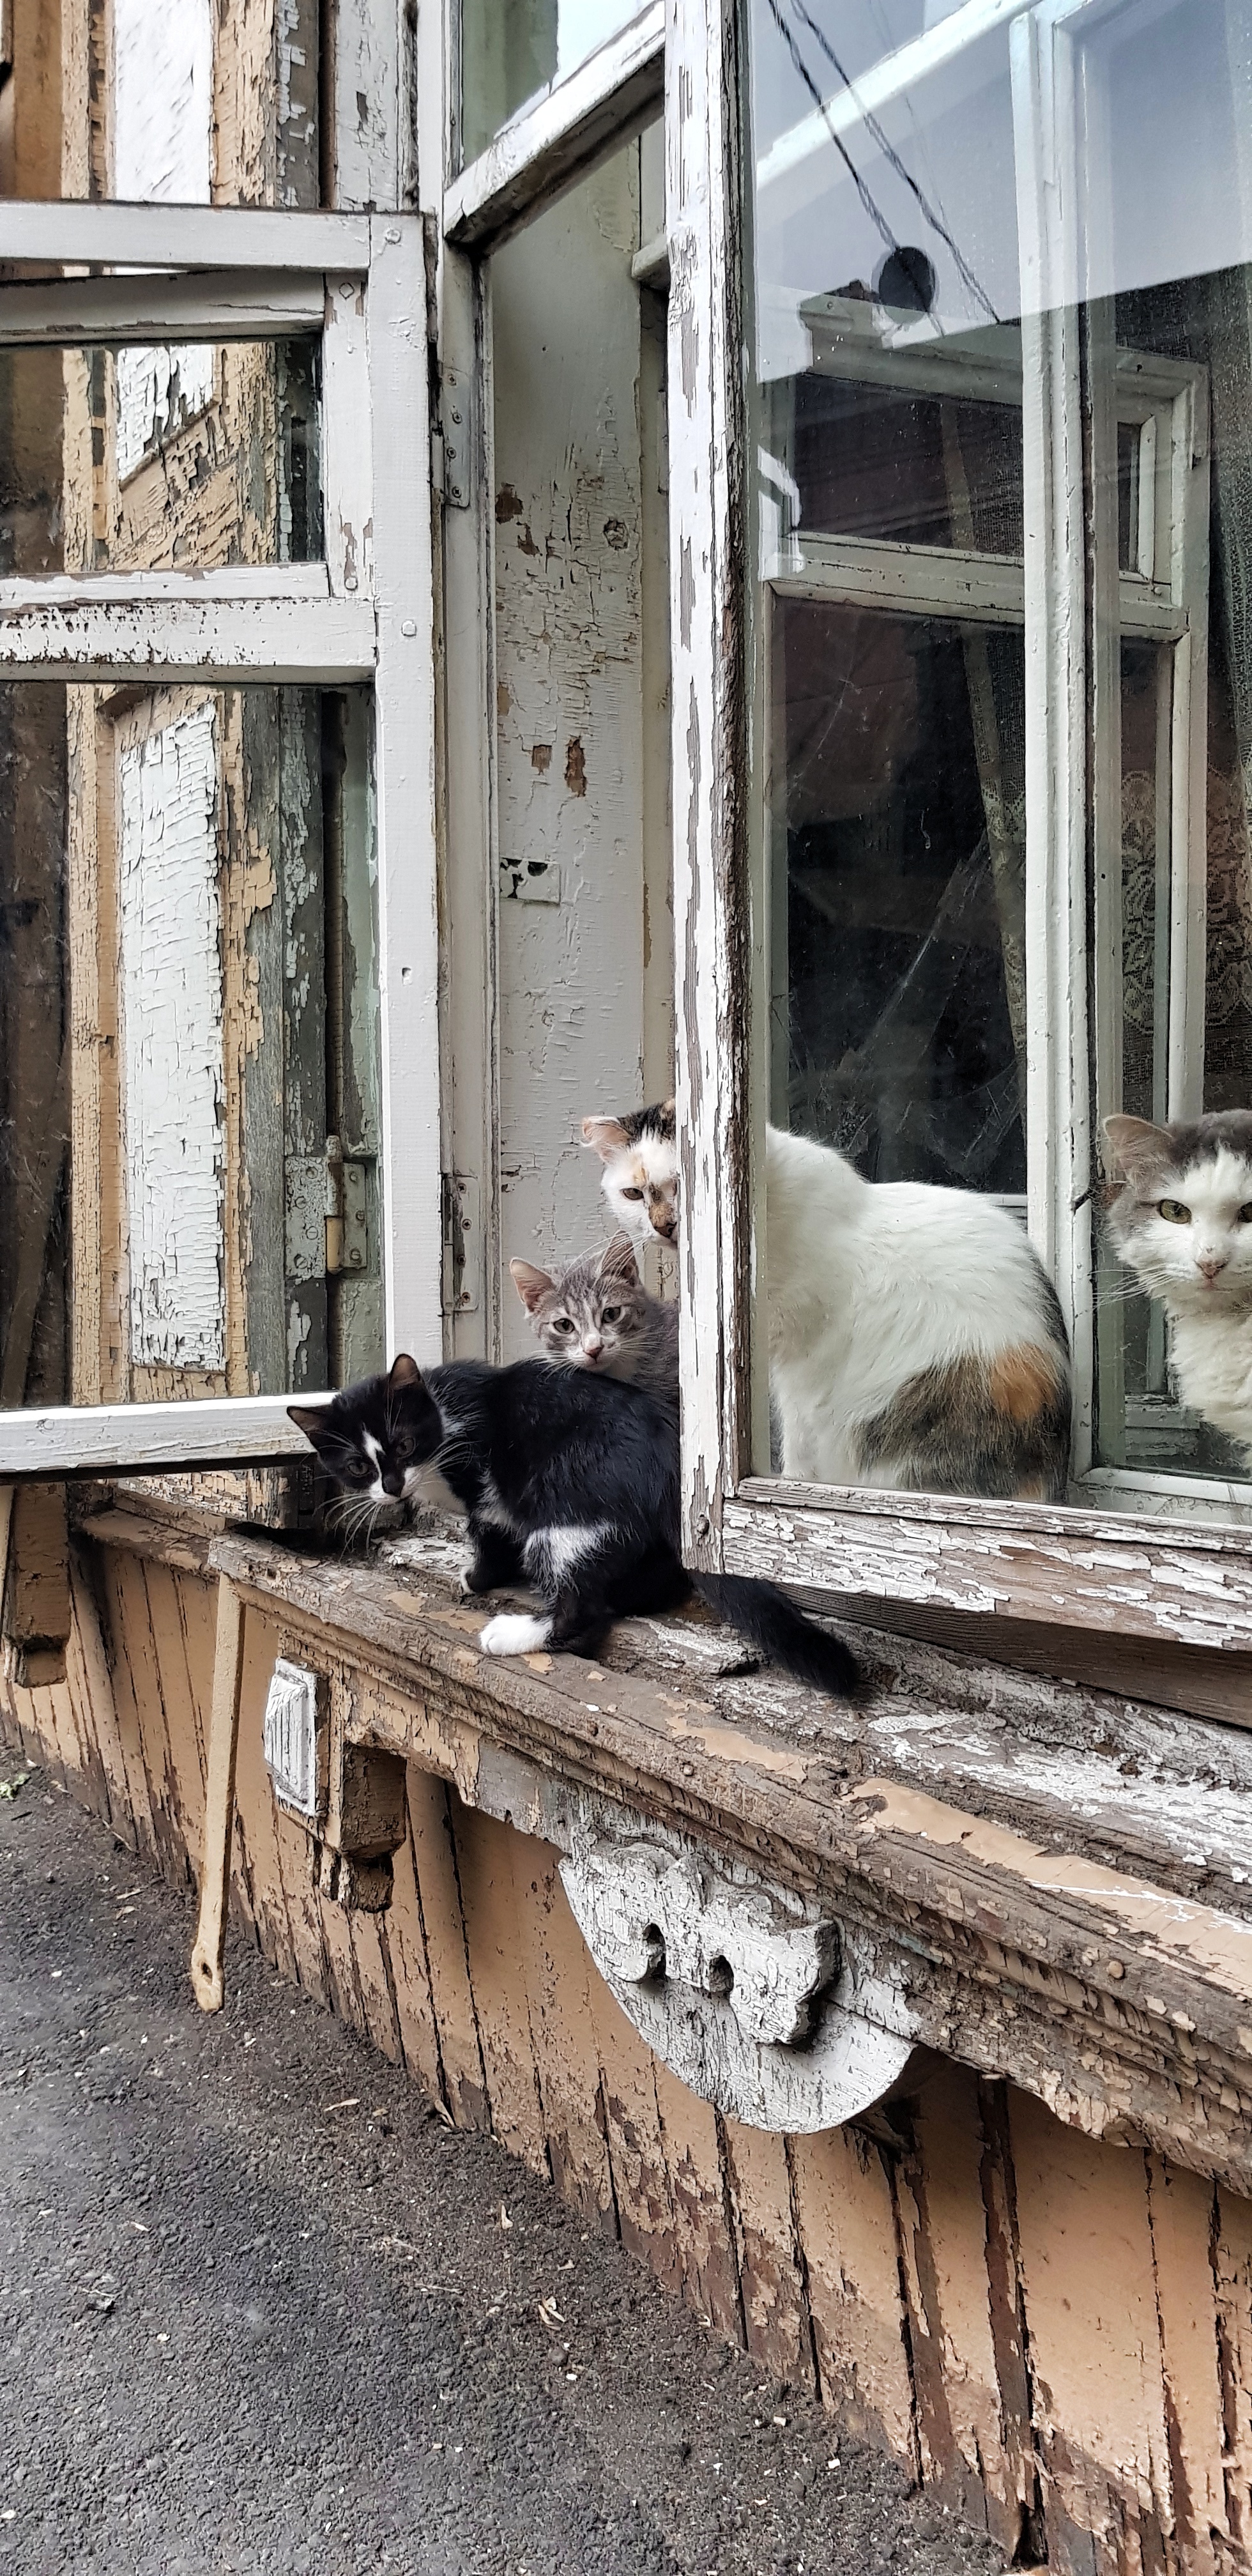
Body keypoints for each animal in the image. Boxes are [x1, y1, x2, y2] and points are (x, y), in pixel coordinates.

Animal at [292, 1349, 860, 1689]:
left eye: (405, 1444)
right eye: (358, 1466)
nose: (391, 1487)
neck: (442, 1415)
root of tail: (672, 1461)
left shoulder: (486, 1483)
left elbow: (490, 1531)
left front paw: (477, 1577)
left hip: (568, 1504)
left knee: (580, 1612)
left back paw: (514, 1633)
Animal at [582, 1097, 1071, 1504]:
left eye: (685, 1183)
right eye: (633, 1194)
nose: (663, 1226)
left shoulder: (801, 1362)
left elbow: (797, 1440)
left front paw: (792, 1482)